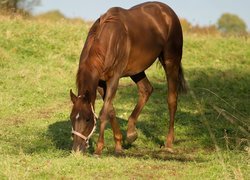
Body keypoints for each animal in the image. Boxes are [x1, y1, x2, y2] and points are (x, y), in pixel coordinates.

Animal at [69, 1, 187, 155]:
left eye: (88, 119)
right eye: (71, 117)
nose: (76, 149)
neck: (109, 38)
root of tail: (168, 12)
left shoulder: (114, 79)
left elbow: (104, 112)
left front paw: (99, 149)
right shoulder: (101, 83)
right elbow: (110, 110)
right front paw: (119, 145)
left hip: (171, 61)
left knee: (172, 99)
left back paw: (168, 143)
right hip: (137, 70)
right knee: (146, 90)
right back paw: (131, 133)